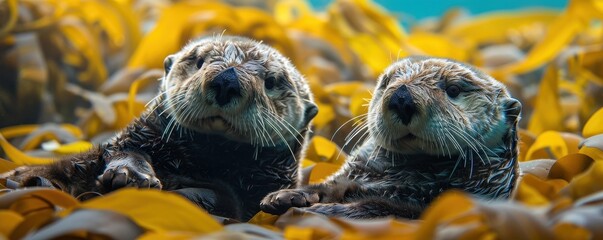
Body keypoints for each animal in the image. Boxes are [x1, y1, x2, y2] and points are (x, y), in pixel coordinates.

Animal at [1, 36, 320, 221]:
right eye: (199, 61)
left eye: (272, 81)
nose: (227, 80)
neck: (206, 162)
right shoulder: (136, 139)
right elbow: (124, 151)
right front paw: (132, 175)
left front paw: (289, 197)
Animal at [262, 56, 520, 219]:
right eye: (386, 83)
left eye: (454, 90)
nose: (402, 98)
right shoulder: (354, 175)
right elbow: (328, 186)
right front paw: (282, 196)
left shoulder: (434, 204)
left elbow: (380, 208)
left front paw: (322, 211)